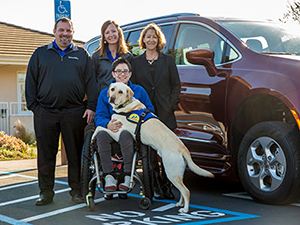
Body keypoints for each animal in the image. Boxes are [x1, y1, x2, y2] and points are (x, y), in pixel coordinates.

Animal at [92, 81, 214, 212]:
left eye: (120, 92)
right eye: (112, 89)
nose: (112, 98)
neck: (126, 106)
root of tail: (183, 148)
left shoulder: (117, 132)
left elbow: (100, 127)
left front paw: (93, 136)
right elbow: (101, 126)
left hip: (171, 172)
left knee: (186, 191)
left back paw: (185, 209)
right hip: (178, 172)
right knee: (182, 190)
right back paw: (180, 204)